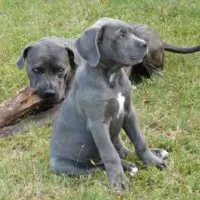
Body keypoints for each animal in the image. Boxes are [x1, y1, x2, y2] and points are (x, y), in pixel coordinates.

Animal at [50, 18, 169, 193]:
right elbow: (110, 155)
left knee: (121, 152)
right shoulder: (98, 124)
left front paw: (153, 161)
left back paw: (156, 153)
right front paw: (119, 181)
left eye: (132, 31)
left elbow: (140, 141)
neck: (112, 77)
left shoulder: (128, 112)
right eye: (121, 35)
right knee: (98, 166)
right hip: (65, 166)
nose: (145, 44)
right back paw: (128, 167)